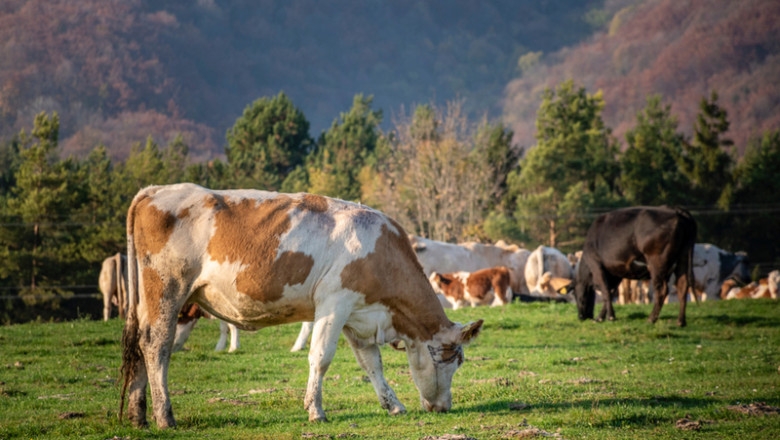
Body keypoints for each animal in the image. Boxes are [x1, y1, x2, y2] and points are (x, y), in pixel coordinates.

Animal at [117, 184, 482, 428]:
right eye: (454, 360)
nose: (444, 407)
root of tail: (155, 190)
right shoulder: (335, 302)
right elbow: (320, 357)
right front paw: (316, 411)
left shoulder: (358, 315)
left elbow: (371, 364)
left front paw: (393, 405)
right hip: (166, 290)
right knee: (157, 345)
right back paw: (164, 416)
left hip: (146, 300)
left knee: (139, 345)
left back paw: (138, 415)